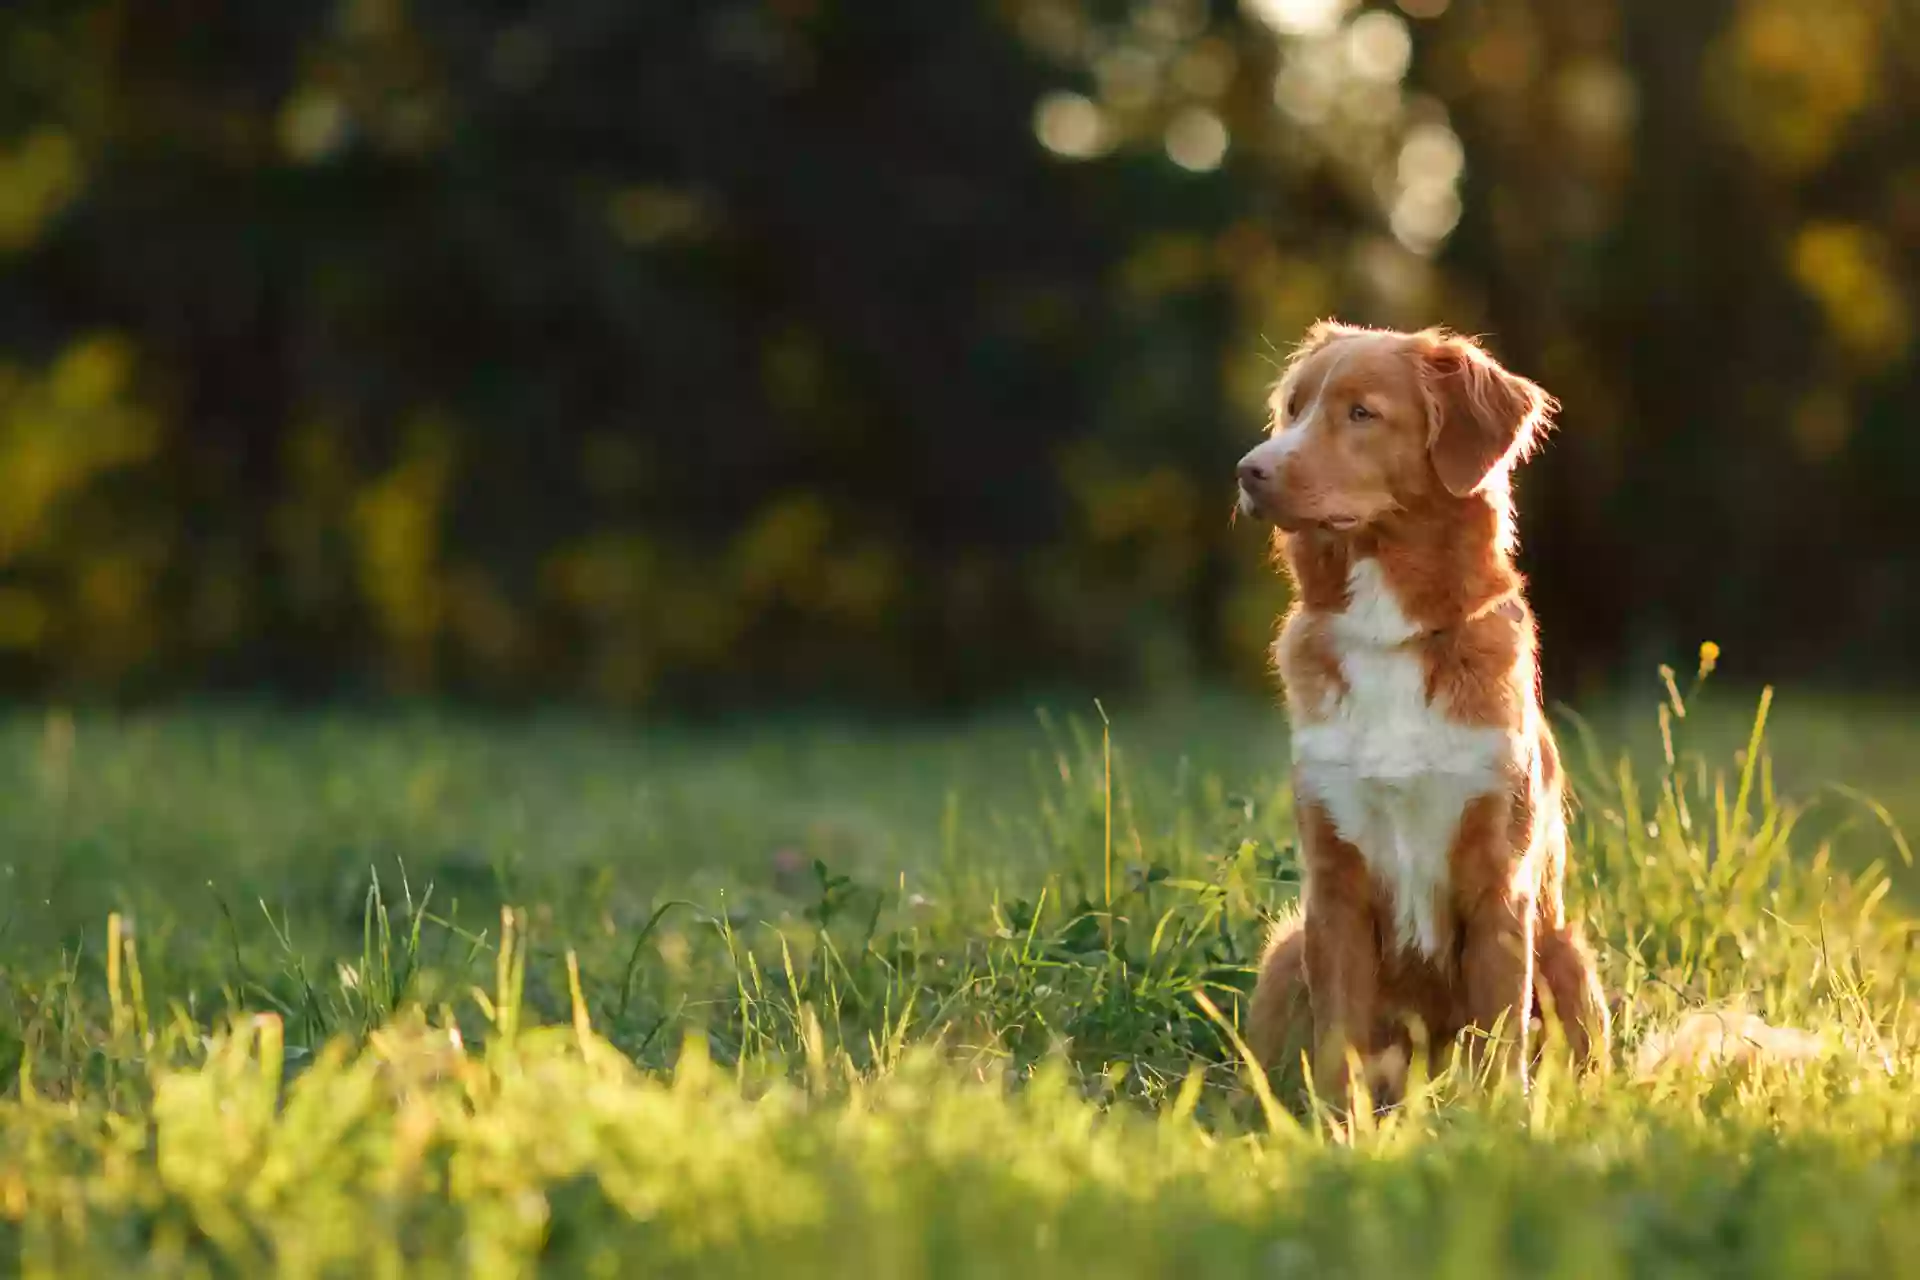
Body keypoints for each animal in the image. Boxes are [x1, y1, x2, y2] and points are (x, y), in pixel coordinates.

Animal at [1236, 320, 1612, 1105]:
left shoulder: (1499, 880)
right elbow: (1338, 1044)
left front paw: (1496, 1116)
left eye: (1361, 413)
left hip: (1567, 954)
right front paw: (1335, 1125)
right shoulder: (1334, 886)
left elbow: (1499, 1038)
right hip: (1285, 952)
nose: (1248, 471)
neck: (1389, 631)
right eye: (1293, 409)